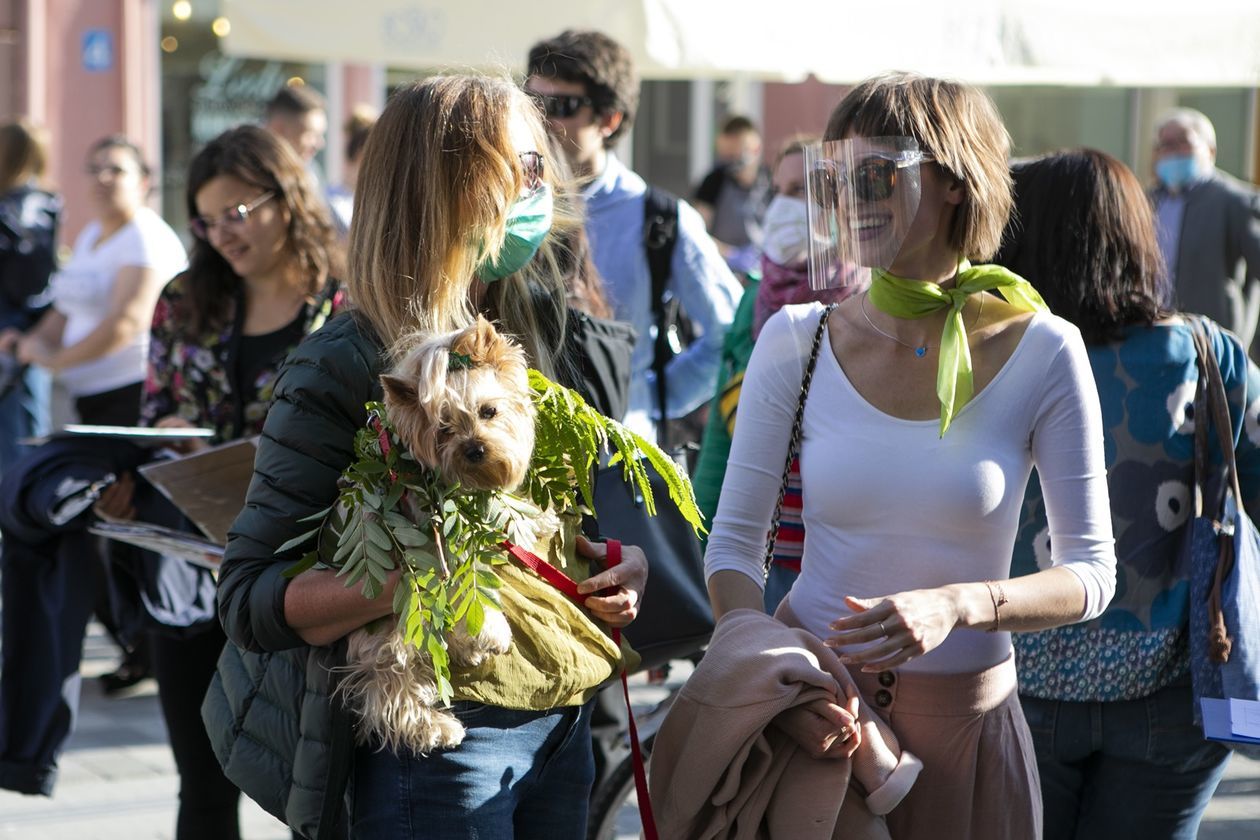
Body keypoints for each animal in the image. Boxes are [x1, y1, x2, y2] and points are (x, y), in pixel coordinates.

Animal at [335, 314, 536, 755]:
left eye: (489, 411)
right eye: (443, 428)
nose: (474, 449)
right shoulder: (437, 550)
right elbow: (469, 593)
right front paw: (493, 633)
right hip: (395, 627)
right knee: (391, 681)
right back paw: (434, 728)